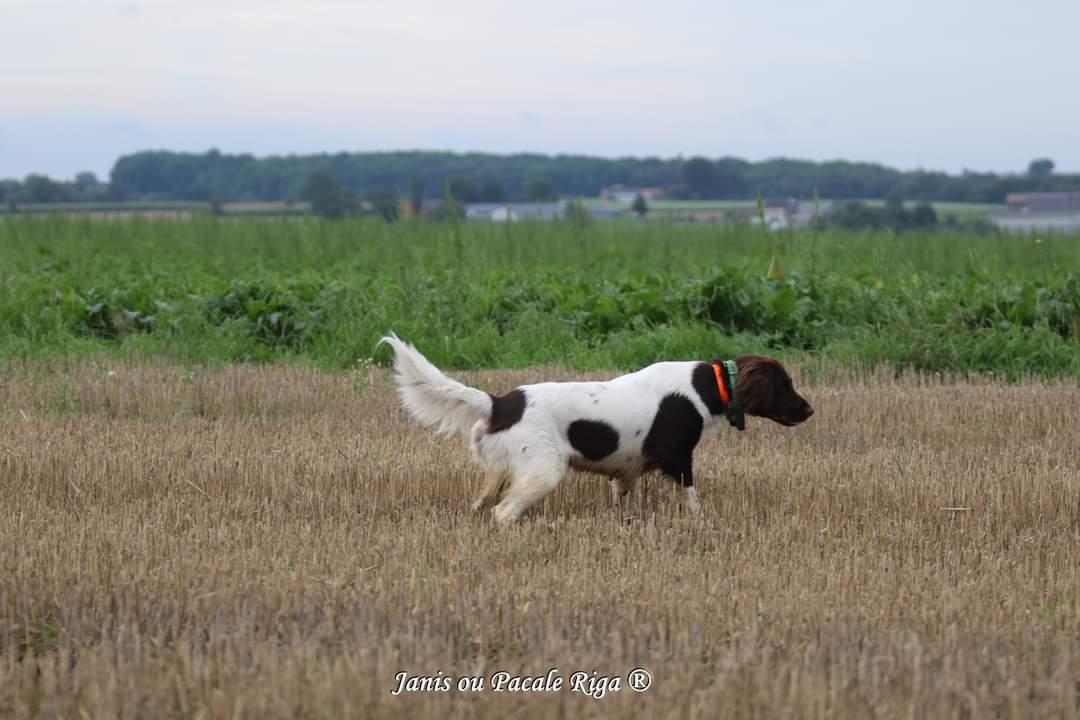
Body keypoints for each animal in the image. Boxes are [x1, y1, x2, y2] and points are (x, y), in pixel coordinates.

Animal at [378, 332, 812, 524]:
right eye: (785, 385)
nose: (809, 410)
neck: (706, 386)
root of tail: (499, 402)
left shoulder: (627, 470)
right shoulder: (678, 458)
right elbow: (692, 498)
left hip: (500, 471)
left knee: (483, 503)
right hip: (544, 469)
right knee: (503, 512)